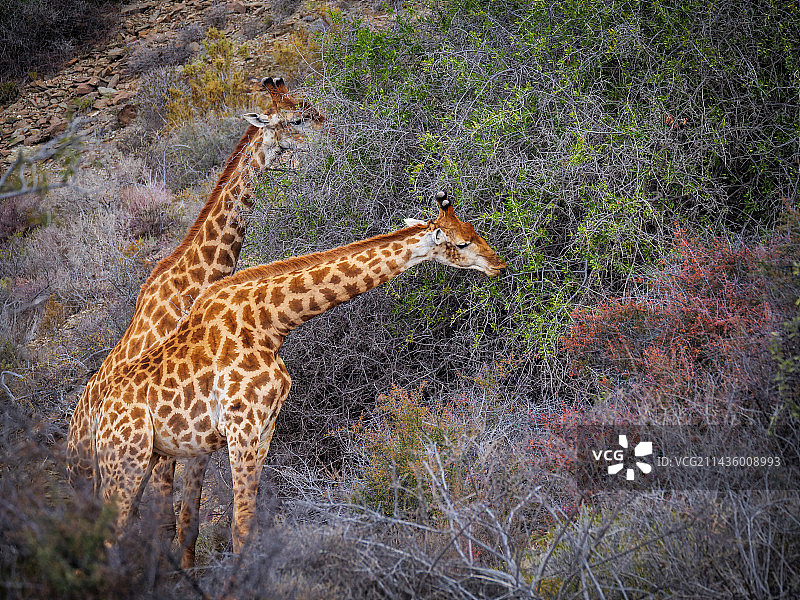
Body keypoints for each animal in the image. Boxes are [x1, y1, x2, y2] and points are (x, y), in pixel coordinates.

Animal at [67, 77, 325, 561]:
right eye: (298, 119)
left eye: (313, 110)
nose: (336, 135)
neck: (193, 284)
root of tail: (70, 427)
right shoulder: (173, 435)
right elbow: (169, 522)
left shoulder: (195, 432)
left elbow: (188, 522)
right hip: (89, 471)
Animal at [92, 191, 507, 554]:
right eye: (463, 243)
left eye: (475, 230)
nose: (499, 263)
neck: (269, 325)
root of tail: (95, 416)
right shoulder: (241, 428)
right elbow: (240, 527)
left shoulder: (265, 430)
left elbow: (251, 524)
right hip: (126, 460)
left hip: (142, 460)